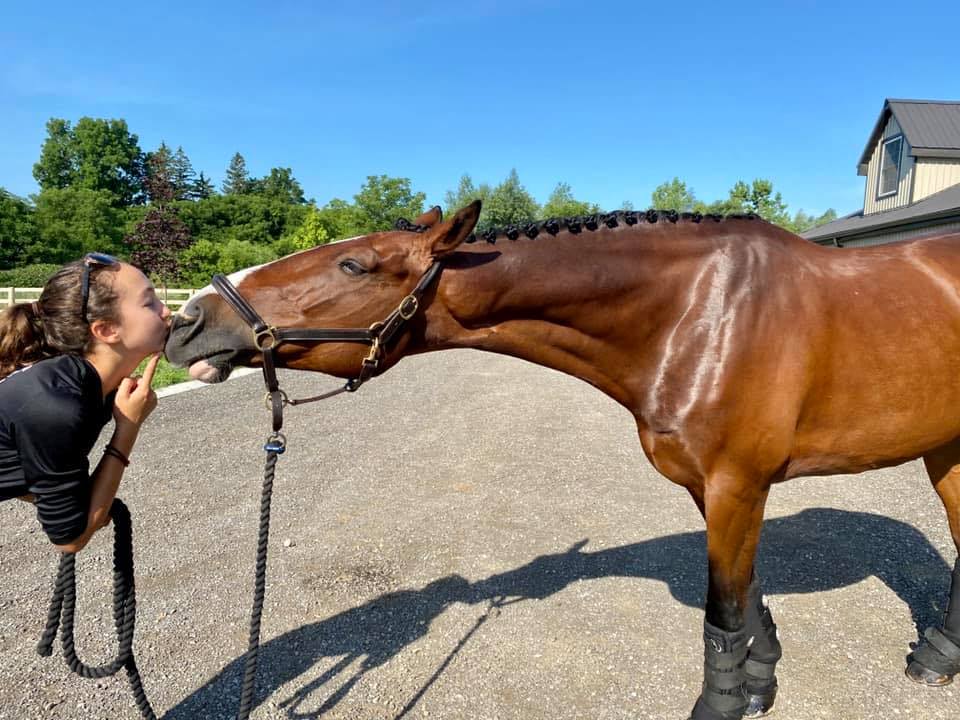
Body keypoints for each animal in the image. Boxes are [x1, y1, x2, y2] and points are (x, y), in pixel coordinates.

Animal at [165, 198, 960, 720]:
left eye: (354, 262)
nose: (189, 320)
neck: (700, 313)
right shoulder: (717, 489)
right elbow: (747, 594)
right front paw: (761, 684)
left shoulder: (739, 484)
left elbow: (723, 609)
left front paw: (727, 700)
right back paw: (937, 659)